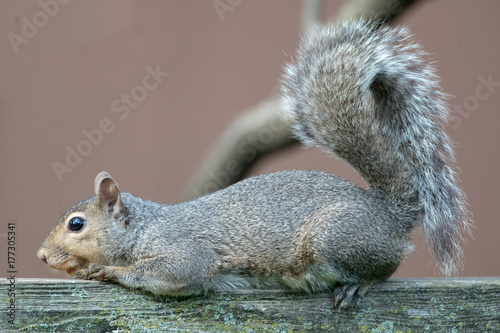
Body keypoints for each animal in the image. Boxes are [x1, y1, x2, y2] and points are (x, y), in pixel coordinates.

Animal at [38, 20, 468, 306]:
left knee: (385, 268)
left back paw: (359, 285)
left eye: (77, 224)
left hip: (336, 238)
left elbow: (175, 272)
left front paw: (108, 271)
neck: (142, 228)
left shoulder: (183, 250)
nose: (42, 256)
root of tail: (388, 213)